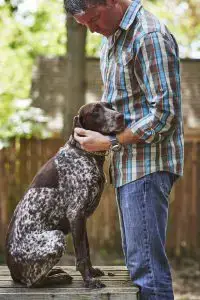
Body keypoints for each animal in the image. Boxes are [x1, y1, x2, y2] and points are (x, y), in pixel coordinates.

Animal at [5, 102, 124, 288]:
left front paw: (91, 272)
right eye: (95, 111)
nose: (120, 116)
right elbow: (81, 256)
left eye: (110, 106)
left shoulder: (82, 219)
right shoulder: (76, 214)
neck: (82, 153)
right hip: (56, 237)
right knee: (34, 282)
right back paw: (59, 277)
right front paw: (89, 280)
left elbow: (86, 250)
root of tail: (13, 272)